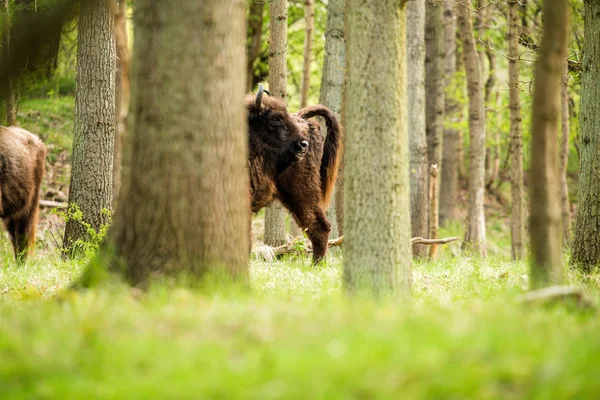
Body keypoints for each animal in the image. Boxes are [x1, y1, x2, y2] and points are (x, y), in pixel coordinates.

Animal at [246, 85, 342, 262]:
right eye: (274, 119)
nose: (302, 144)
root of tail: (304, 120)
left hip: (301, 190)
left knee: (319, 225)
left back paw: (316, 264)